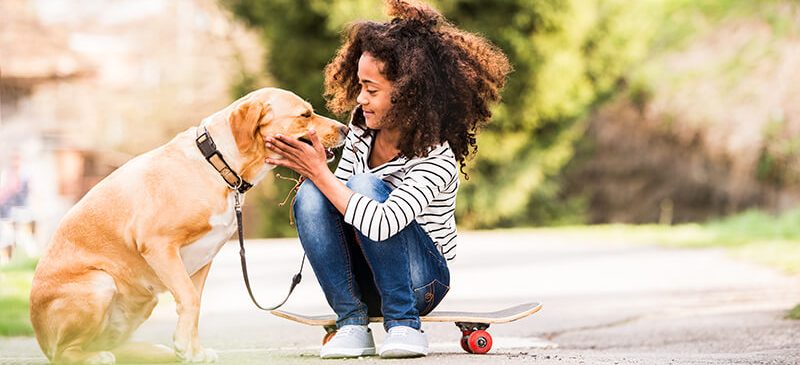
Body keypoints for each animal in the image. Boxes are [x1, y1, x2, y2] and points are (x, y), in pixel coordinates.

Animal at [28, 86, 346, 362]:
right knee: (64, 353)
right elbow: (190, 300)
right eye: (305, 115)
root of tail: (40, 338)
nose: (345, 129)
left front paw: (192, 352)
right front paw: (186, 348)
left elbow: (195, 302)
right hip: (101, 283)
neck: (217, 165)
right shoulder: (158, 245)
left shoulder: (203, 259)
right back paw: (94, 357)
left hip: (144, 300)